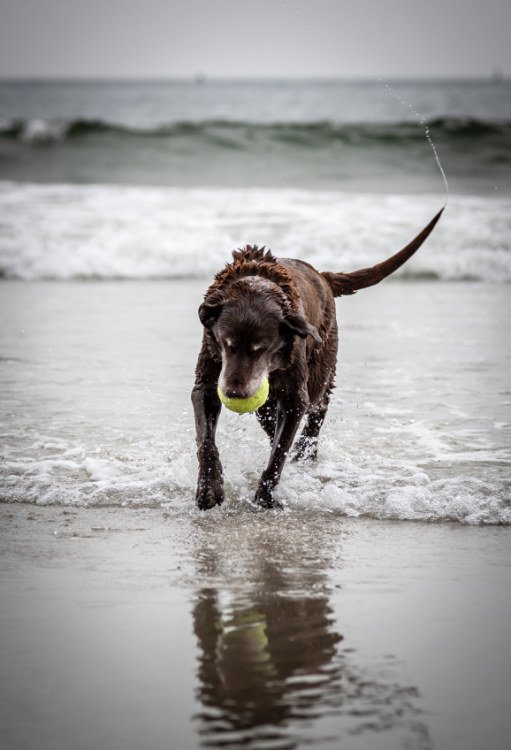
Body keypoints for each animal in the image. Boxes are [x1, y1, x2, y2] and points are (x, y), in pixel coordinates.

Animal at [192, 210, 444, 512]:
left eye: (261, 349)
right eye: (226, 343)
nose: (234, 393)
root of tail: (323, 276)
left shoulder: (294, 395)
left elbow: (279, 452)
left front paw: (265, 497)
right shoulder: (209, 378)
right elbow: (206, 439)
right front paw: (209, 489)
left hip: (321, 367)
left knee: (317, 411)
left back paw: (305, 454)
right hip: (266, 400)